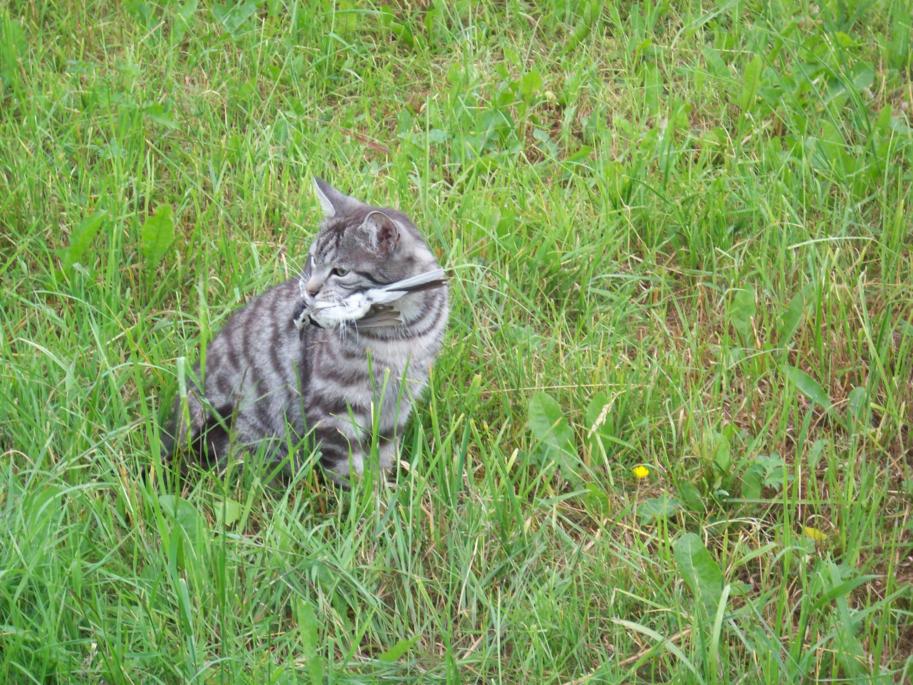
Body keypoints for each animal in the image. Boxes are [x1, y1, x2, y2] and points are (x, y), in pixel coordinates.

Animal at [166, 179, 450, 478]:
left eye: (340, 271)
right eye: (314, 259)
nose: (310, 291)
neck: (402, 333)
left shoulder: (397, 403)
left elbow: (383, 455)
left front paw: (384, 484)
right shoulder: (335, 406)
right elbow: (348, 468)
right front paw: (364, 491)